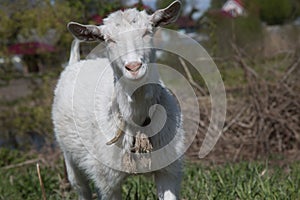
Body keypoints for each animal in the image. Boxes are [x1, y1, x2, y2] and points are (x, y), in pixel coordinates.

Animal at [52, 1, 184, 198]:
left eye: (148, 31)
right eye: (108, 39)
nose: (134, 67)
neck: (137, 120)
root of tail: (74, 63)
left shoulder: (169, 170)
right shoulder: (108, 182)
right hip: (69, 153)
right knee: (81, 187)